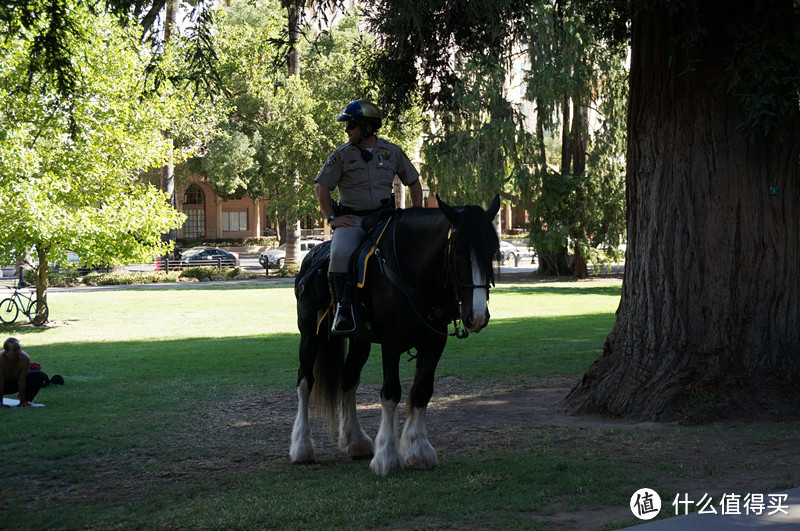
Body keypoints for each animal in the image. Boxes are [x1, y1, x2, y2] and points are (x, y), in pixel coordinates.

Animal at [290, 194, 496, 474]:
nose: (477, 316)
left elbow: (422, 391)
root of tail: (312, 255)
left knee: (348, 379)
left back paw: (355, 440)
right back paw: (302, 446)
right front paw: (387, 455)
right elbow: (390, 393)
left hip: (360, 341)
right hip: (310, 333)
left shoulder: (434, 342)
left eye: (493, 250)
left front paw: (418, 449)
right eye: (458, 250)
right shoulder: (391, 343)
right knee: (305, 382)